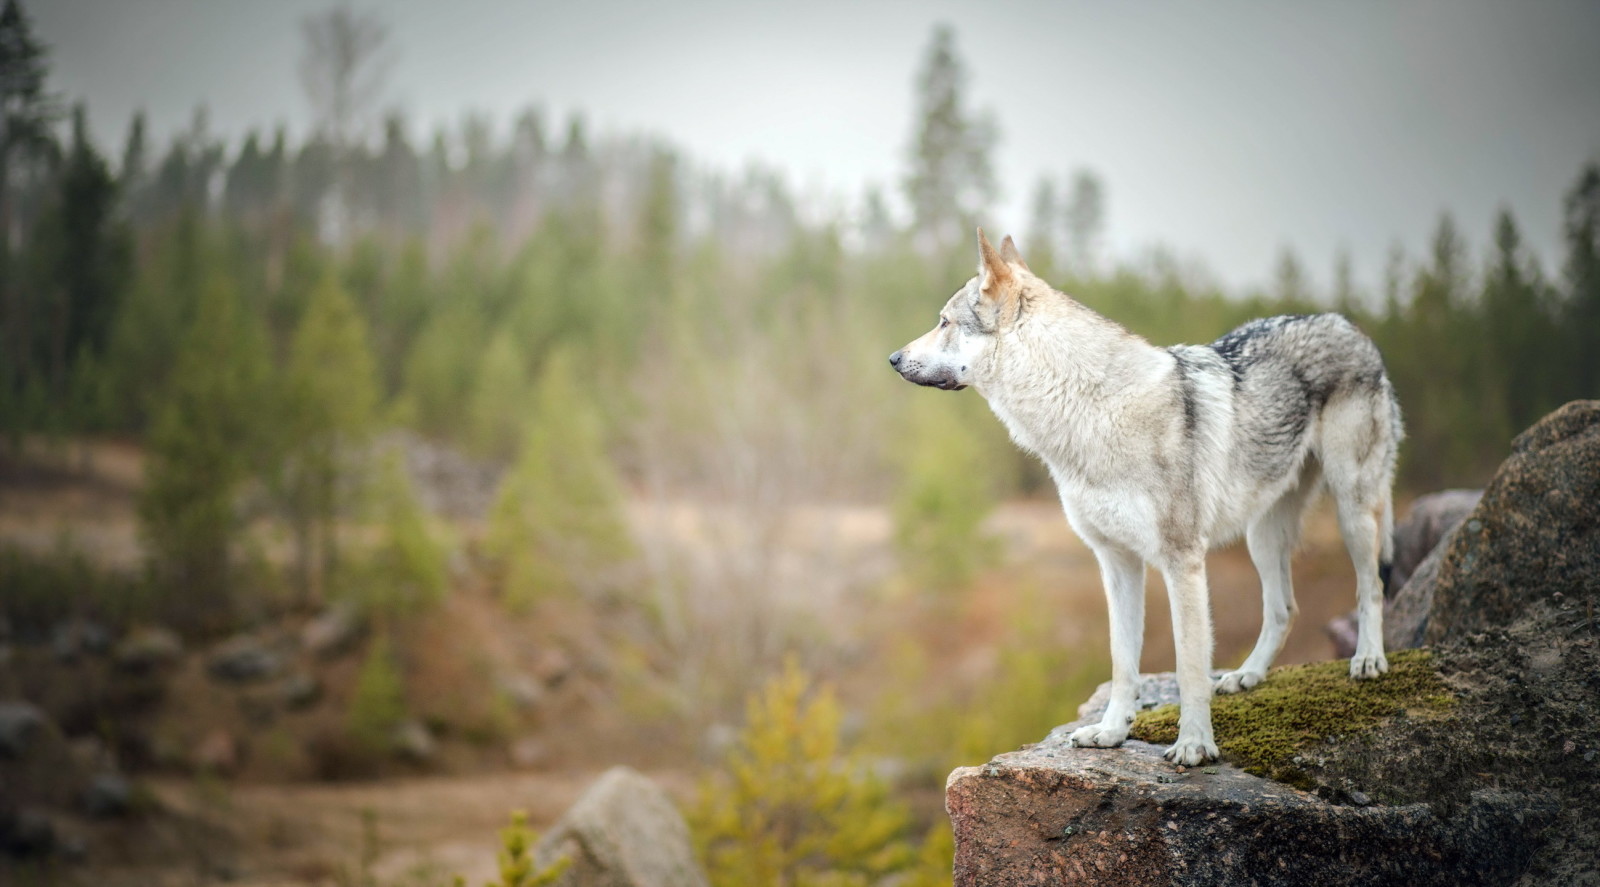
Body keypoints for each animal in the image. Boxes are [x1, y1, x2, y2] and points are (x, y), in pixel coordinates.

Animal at [889, 227, 1401, 758]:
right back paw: (1247, 676)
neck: (1089, 412)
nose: (893, 358)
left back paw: (1368, 660)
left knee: (1371, 586)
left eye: (944, 322)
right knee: (1284, 609)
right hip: (1262, 536)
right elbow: (1122, 661)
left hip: (1353, 510)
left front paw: (1194, 746)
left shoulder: (1182, 561)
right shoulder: (1116, 562)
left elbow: (1189, 666)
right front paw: (1111, 732)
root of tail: (1346, 323)